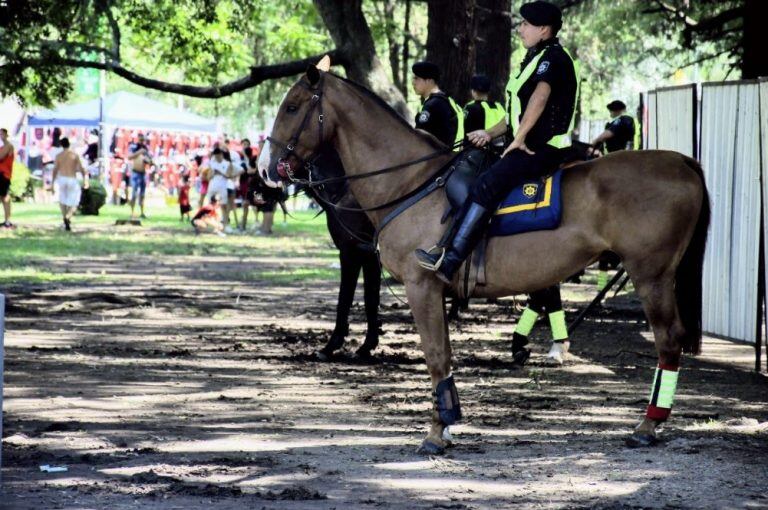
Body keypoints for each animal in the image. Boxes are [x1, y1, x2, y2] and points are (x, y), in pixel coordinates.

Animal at [258, 56, 708, 454]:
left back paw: (648, 424)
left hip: (651, 276)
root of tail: (682, 161)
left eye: (292, 106)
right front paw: (447, 422)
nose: (264, 168)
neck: (411, 181)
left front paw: (436, 431)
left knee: (668, 341)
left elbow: (435, 356)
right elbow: (441, 355)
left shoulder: (418, 285)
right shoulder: (427, 288)